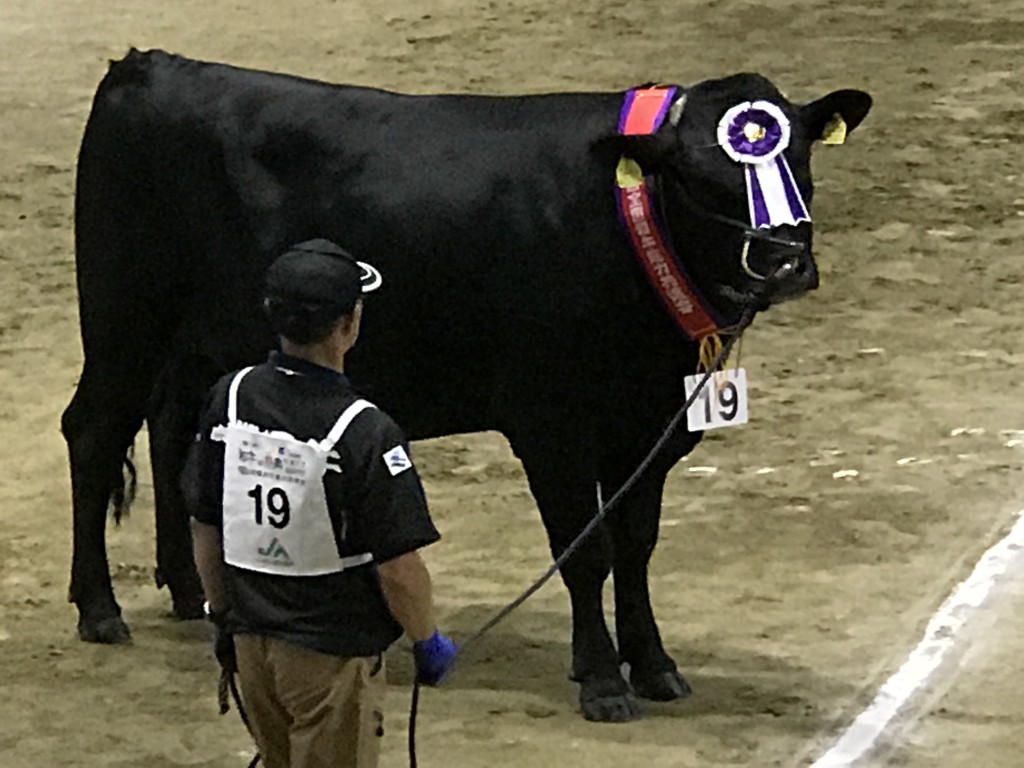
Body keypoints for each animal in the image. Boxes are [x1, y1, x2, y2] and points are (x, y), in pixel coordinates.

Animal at [59, 48, 868, 720]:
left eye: (798, 158)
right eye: (701, 180)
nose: (783, 261)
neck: (627, 229)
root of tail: (147, 65)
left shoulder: (648, 423)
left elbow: (637, 547)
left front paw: (655, 666)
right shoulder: (552, 423)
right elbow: (587, 551)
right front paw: (602, 680)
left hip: (193, 346)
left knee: (173, 430)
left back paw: (191, 592)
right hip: (124, 321)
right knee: (94, 430)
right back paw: (99, 609)